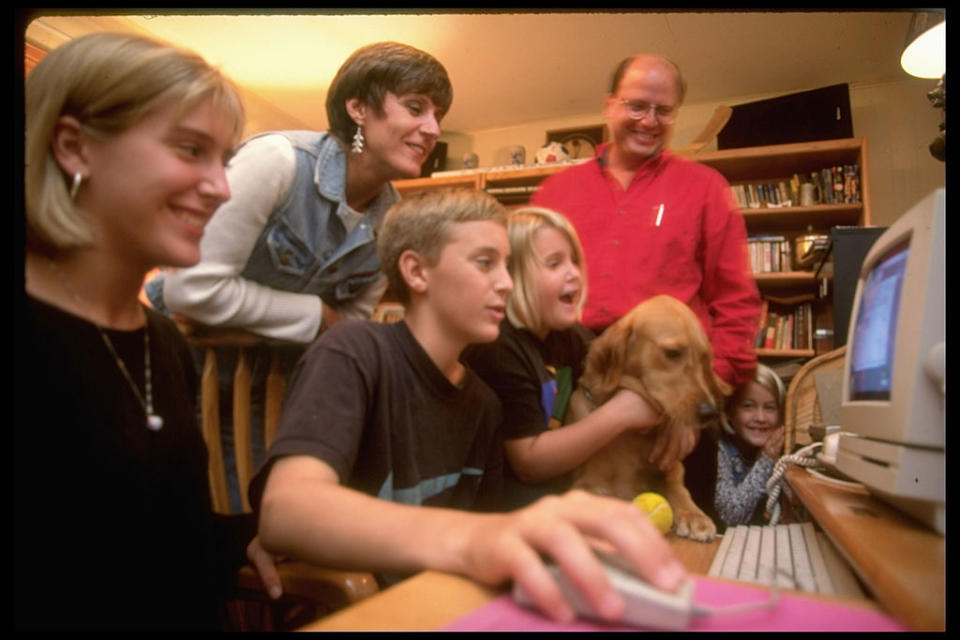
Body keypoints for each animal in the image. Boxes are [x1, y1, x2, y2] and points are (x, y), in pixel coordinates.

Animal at [568, 296, 732, 540]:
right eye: (672, 353)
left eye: (705, 358)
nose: (710, 412)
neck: (629, 433)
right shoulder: (586, 483)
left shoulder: (673, 467)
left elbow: (677, 486)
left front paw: (693, 515)